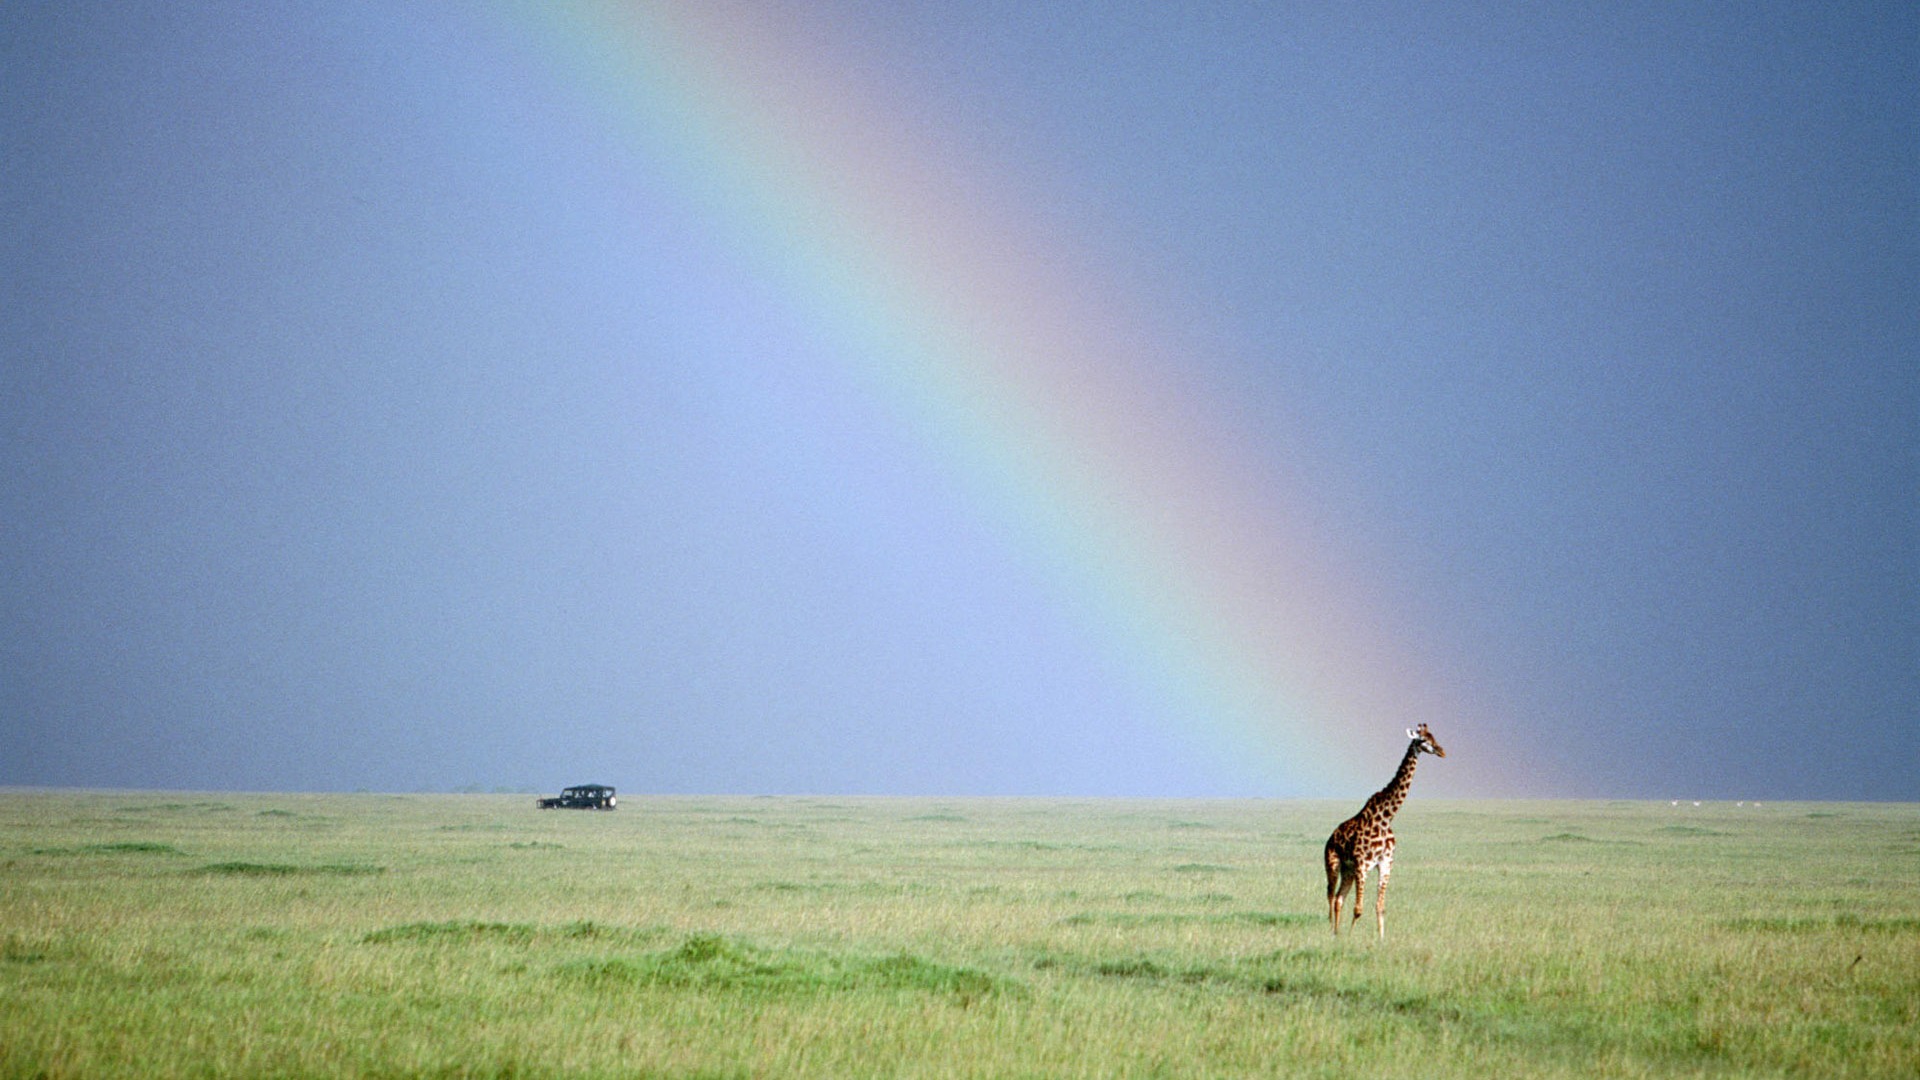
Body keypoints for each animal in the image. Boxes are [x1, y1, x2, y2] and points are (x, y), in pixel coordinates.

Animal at [1328, 722, 1443, 933]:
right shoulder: (1362, 865)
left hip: (1347, 869)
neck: (1386, 817)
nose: (1441, 751)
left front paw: (1380, 938)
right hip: (1333, 863)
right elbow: (1358, 909)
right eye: (1423, 739)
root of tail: (1331, 837)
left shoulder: (1386, 863)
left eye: (1435, 737)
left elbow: (1380, 907)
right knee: (1331, 896)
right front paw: (1351, 936)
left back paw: (1337, 933)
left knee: (1339, 898)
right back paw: (1332, 930)